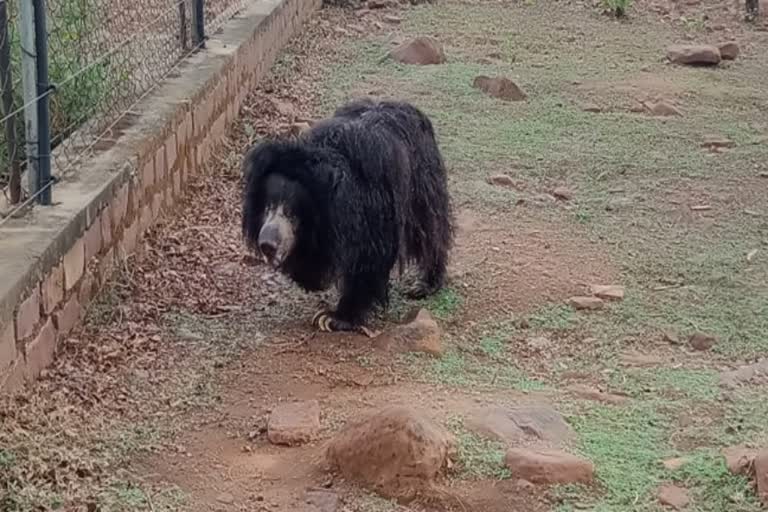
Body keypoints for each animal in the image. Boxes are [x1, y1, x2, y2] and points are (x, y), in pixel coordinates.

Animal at [243, 97, 452, 334]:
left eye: (291, 213)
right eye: (267, 207)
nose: (267, 245)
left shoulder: (372, 208)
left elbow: (368, 259)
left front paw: (333, 318)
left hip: (420, 183)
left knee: (428, 230)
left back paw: (425, 283)